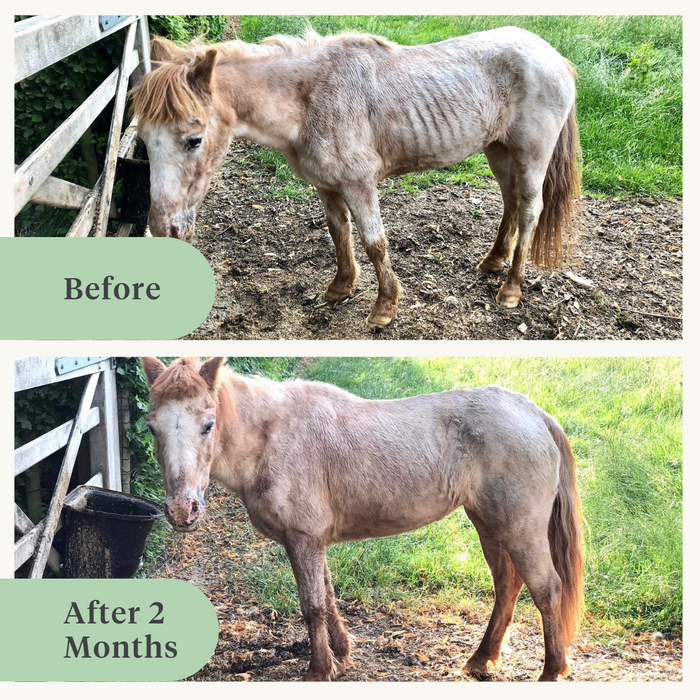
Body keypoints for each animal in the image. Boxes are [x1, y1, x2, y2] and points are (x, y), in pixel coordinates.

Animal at [131, 27, 581, 329]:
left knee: (530, 210)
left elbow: (374, 242)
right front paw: (341, 287)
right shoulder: (326, 185)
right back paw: (491, 262)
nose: (164, 228)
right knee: (510, 202)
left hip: (531, 156)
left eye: (193, 140)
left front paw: (384, 308)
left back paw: (511, 289)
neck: (310, 100)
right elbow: (339, 233)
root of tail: (553, 56)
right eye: (143, 140)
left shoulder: (359, 184)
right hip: (498, 149)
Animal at [142, 357, 584, 682]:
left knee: (546, 589)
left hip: (520, 530)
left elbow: (312, 605)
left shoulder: (303, 538)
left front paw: (319, 671)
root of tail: (534, 413)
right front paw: (341, 655)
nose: (181, 510)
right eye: (151, 428)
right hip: (489, 525)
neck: (270, 438)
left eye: (208, 425)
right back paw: (481, 660)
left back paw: (551, 671)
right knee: (508, 585)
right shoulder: (312, 541)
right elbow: (328, 597)